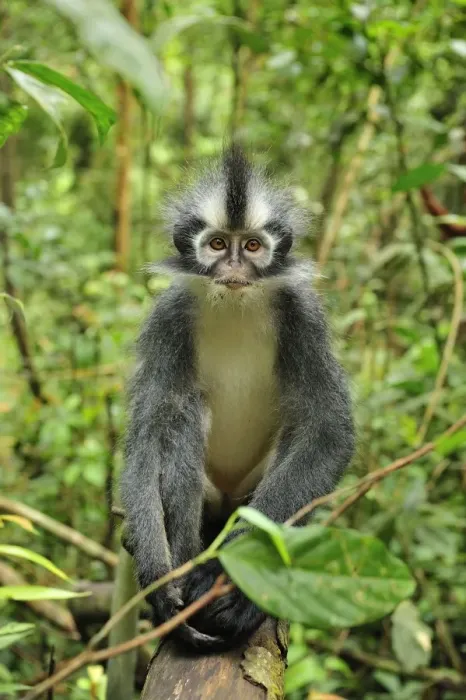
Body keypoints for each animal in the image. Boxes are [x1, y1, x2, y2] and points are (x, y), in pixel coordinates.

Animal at [120, 145, 355, 651]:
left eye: (250, 247)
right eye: (216, 245)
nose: (233, 269)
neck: (234, 305)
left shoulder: (303, 316)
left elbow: (328, 432)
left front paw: (224, 580)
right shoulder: (168, 318)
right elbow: (147, 438)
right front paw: (157, 580)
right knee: (184, 415)